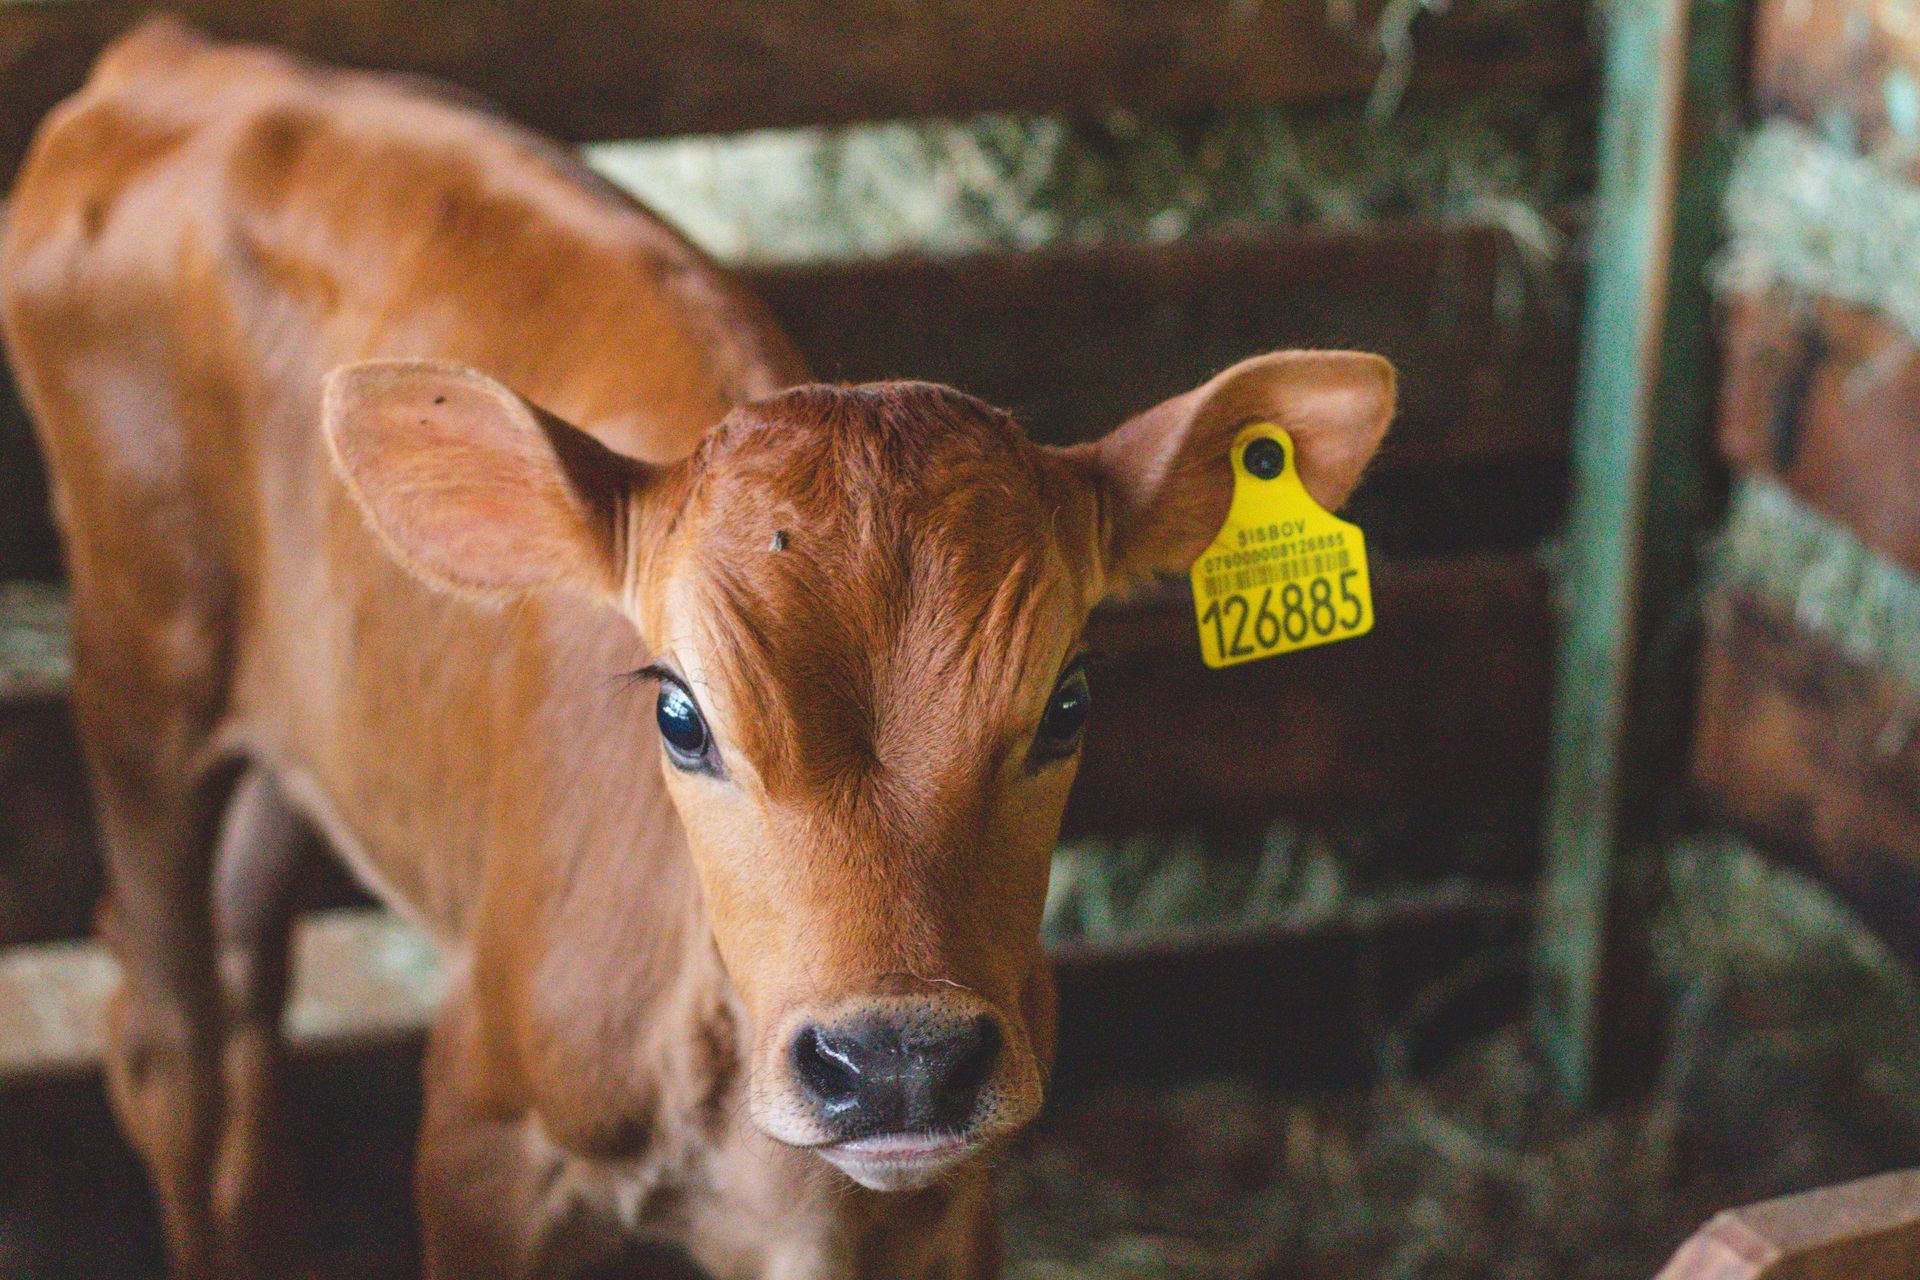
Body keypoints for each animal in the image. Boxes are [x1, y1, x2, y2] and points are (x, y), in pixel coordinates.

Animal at [0, 19, 1394, 1279]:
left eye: (1069, 701)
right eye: (680, 716)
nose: (898, 1063)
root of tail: (176, 56)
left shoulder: (955, 1201)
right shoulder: (481, 1139)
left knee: (244, 990)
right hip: (139, 661)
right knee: (167, 1034)